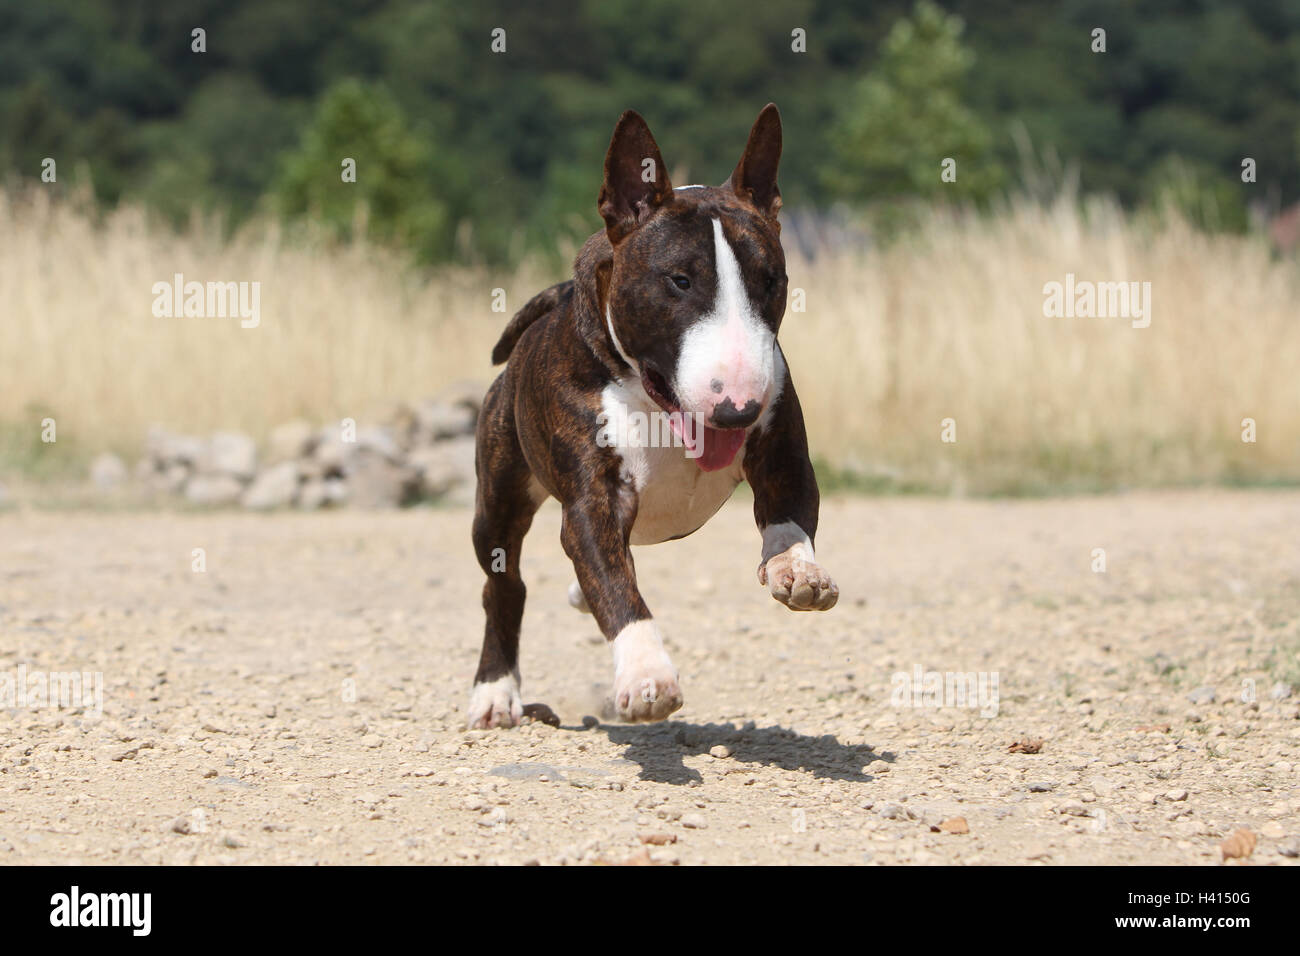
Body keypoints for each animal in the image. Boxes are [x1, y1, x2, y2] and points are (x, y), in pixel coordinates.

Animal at [473, 104, 837, 728]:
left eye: (771, 281)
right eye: (680, 280)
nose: (737, 409)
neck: (654, 405)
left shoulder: (784, 451)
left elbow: (790, 514)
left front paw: (798, 571)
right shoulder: (594, 499)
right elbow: (617, 588)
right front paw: (647, 676)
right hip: (497, 497)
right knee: (505, 587)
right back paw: (495, 693)